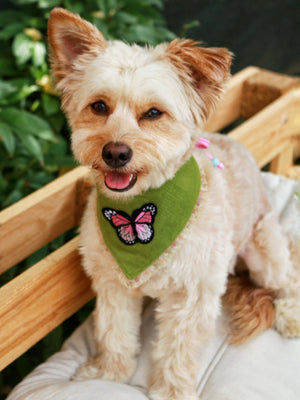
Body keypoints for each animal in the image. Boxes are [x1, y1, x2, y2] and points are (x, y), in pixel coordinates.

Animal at [48, 9, 298, 400]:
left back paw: (290, 313)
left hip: (265, 254)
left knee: (288, 278)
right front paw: (108, 372)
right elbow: (114, 331)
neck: (142, 206)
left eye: (153, 113)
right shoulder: (113, 284)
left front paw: (171, 391)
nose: (115, 152)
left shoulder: (192, 296)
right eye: (99, 106)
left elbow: (177, 350)